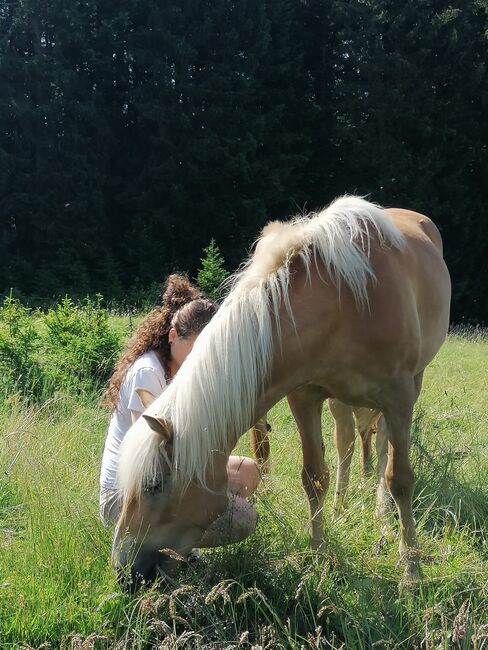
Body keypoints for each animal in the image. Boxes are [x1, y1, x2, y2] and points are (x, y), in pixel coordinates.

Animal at [114, 195, 450, 584]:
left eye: (153, 485)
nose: (123, 570)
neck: (345, 302)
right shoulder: (304, 397)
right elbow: (314, 477)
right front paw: (318, 558)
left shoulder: (398, 396)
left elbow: (400, 479)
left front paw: (411, 568)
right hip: (340, 401)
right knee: (346, 443)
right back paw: (341, 508)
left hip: (410, 386)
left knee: (381, 451)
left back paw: (383, 516)